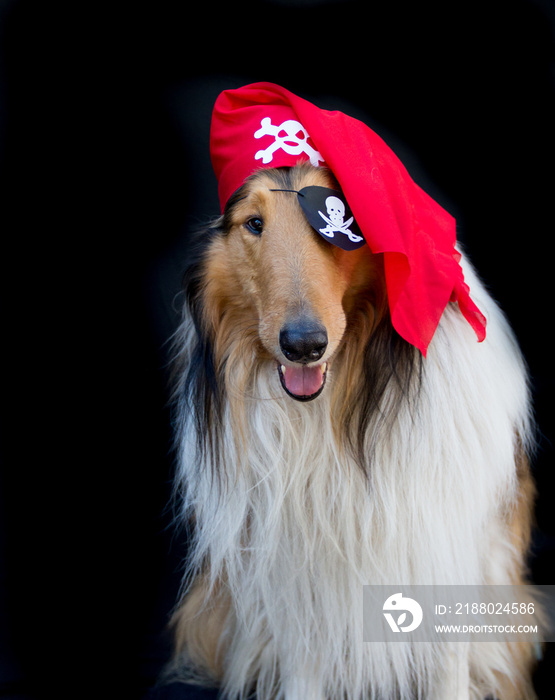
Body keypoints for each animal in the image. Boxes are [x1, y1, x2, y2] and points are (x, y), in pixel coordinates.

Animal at [168, 165, 540, 700]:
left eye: (340, 226)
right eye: (254, 223)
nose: (304, 345)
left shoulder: (447, 548)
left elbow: (448, 661)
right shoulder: (297, 581)